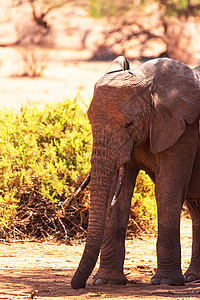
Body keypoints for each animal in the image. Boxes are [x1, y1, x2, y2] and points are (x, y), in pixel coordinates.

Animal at [71, 55, 200, 288]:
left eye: (130, 123)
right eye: (89, 120)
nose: (78, 285)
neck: (147, 81)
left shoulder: (183, 129)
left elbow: (167, 193)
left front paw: (165, 282)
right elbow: (118, 195)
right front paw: (105, 282)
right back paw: (193, 277)